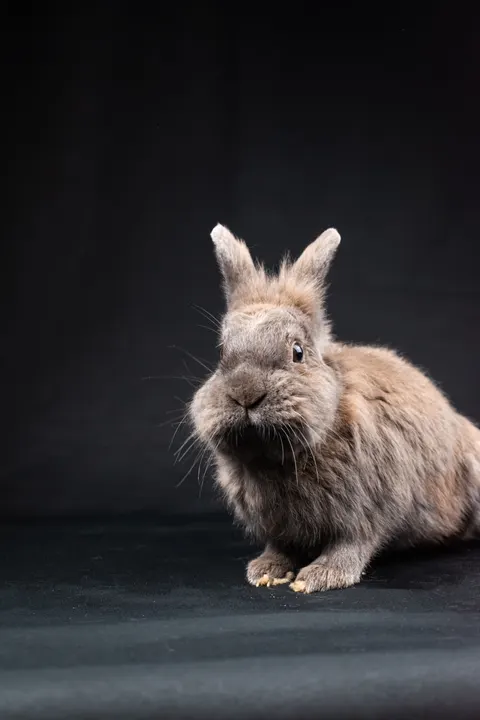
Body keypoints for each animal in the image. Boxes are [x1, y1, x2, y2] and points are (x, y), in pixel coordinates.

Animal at [189, 223, 480, 593]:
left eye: (297, 352)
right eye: (222, 353)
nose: (246, 394)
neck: (276, 458)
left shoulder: (368, 511)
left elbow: (352, 544)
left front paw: (318, 577)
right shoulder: (281, 526)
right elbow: (280, 546)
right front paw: (266, 571)